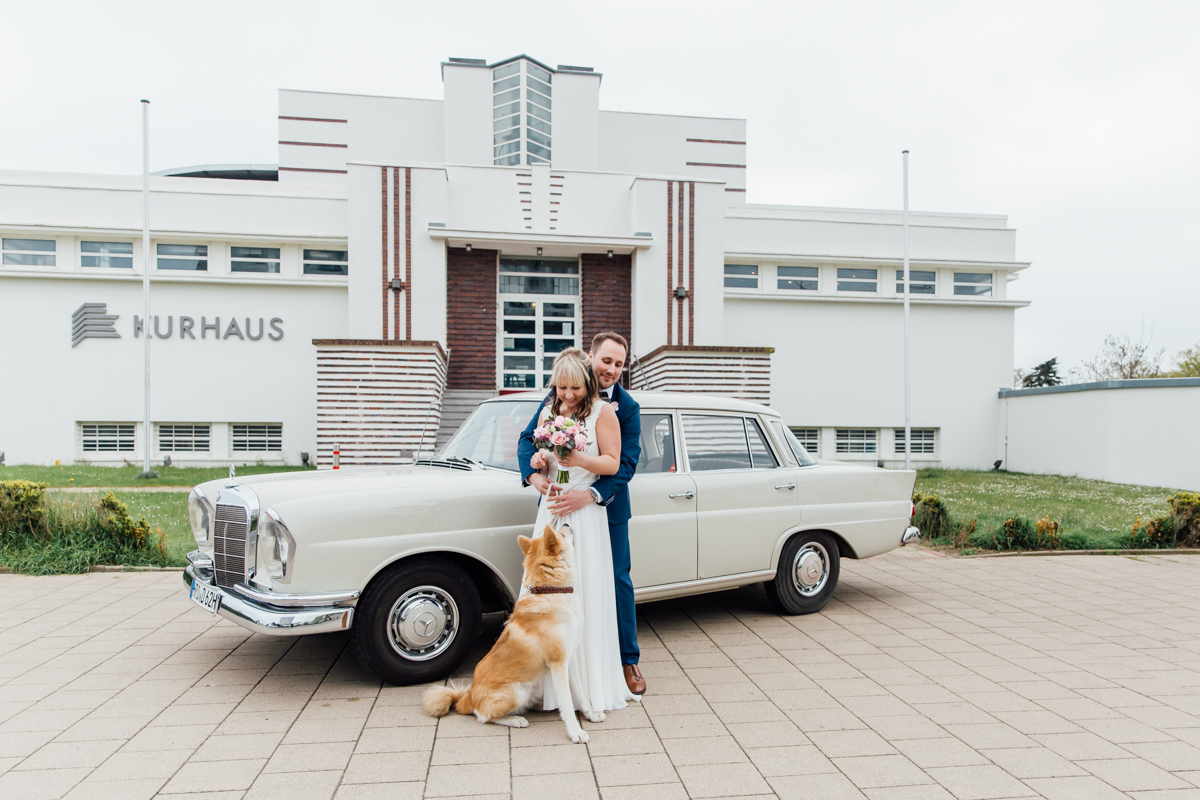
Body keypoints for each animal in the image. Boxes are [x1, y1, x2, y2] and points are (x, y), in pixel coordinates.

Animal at [427, 525, 604, 743]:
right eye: (561, 534)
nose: (566, 525)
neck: (550, 593)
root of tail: (468, 696)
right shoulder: (558, 663)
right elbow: (567, 703)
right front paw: (575, 732)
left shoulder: (567, 661)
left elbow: (579, 694)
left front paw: (591, 713)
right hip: (516, 692)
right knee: (483, 716)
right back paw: (515, 720)